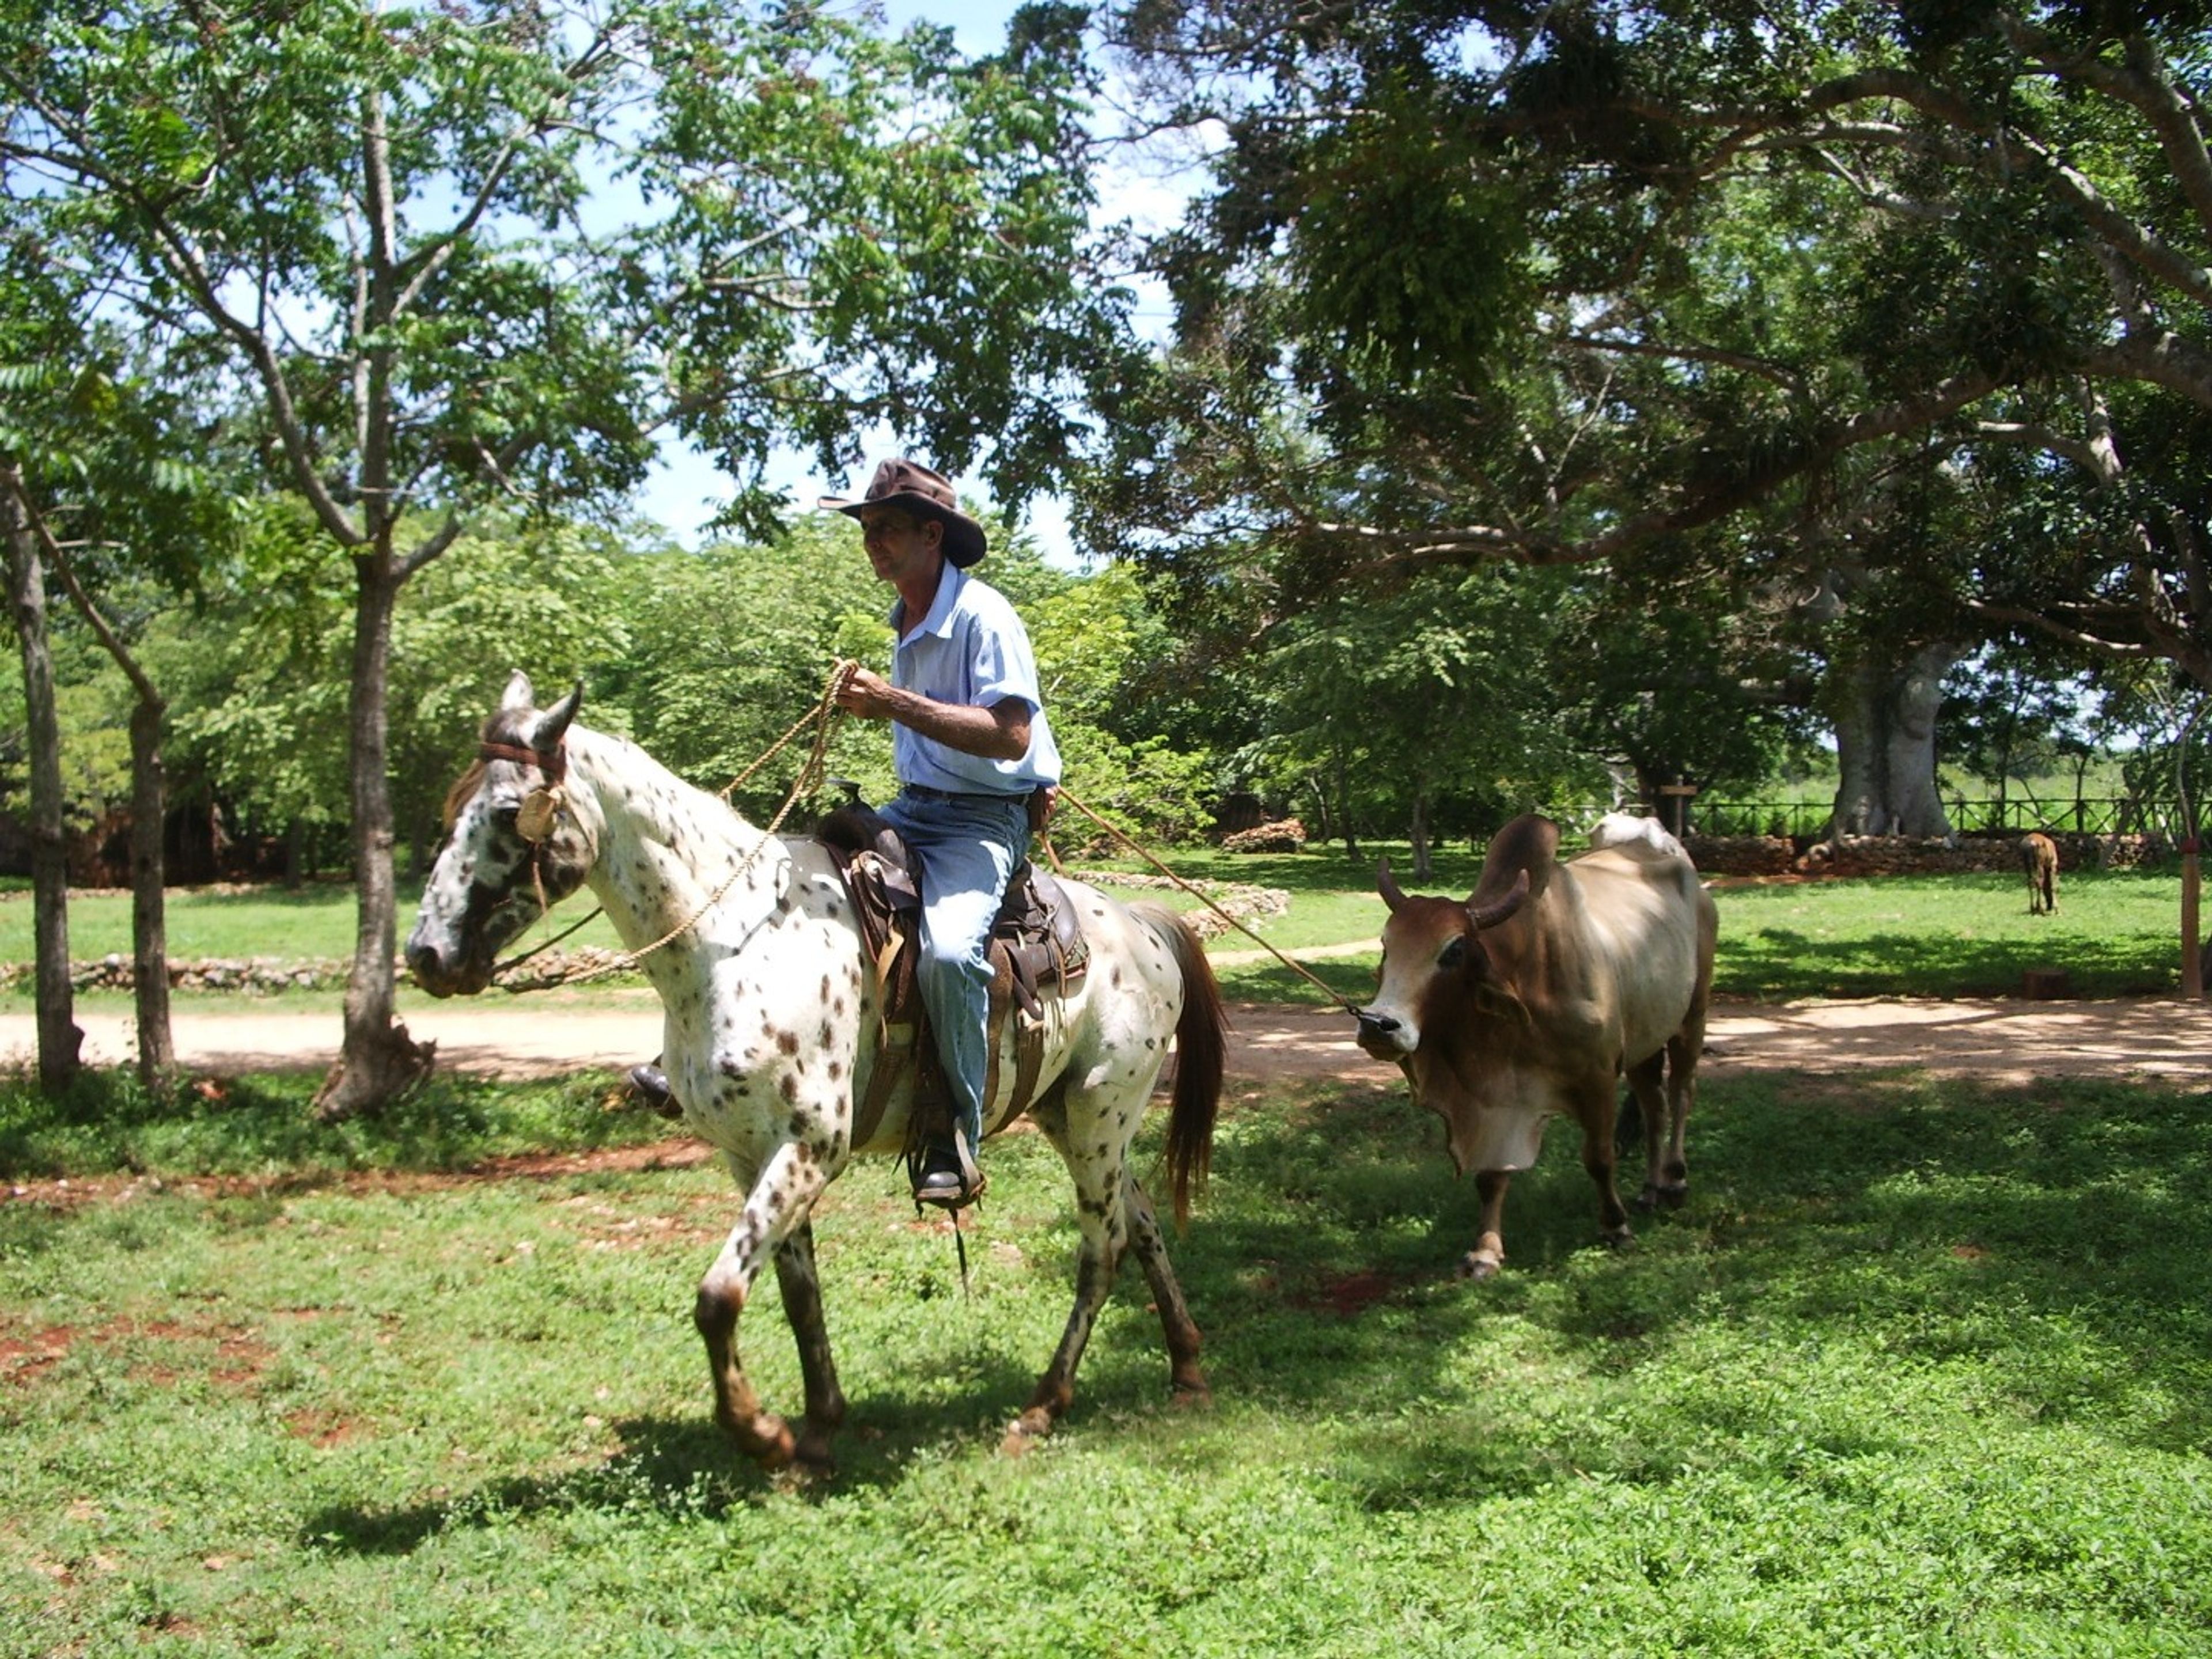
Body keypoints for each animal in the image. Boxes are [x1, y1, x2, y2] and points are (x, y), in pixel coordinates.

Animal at [404, 673, 1228, 1469]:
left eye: (507, 813)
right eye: (453, 806)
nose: (427, 955)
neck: (736, 939)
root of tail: (1143, 923)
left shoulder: (811, 1146)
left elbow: (718, 1297)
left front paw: (762, 1434)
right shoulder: (750, 1153)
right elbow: (798, 1293)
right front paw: (820, 1427)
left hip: (1098, 1115)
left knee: (1102, 1249)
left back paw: (1043, 1407)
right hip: (1073, 1117)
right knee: (1141, 1221)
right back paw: (1186, 1363)